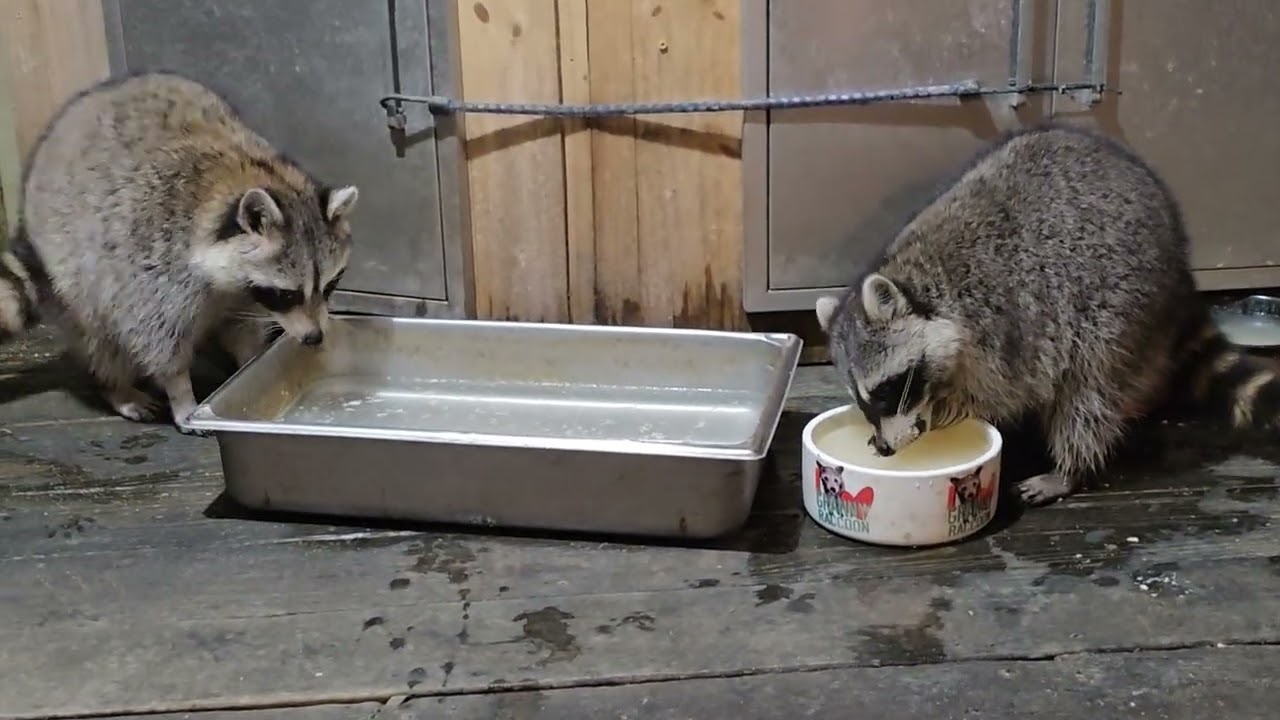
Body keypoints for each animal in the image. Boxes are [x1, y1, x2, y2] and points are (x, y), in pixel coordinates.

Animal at [0, 71, 358, 435]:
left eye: (330, 284)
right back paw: (116, 387)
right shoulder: (152, 266)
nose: (315, 337)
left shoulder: (242, 295)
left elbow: (242, 327)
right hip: (73, 275)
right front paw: (181, 395)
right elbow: (158, 340)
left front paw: (251, 365)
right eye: (286, 294)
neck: (249, 174)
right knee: (99, 339)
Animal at [816, 123, 1279, 506]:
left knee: (1089, 393)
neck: (923, 277)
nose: (885, 449)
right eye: (865, 399)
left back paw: (1072, 468)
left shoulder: (1009, 323)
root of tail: (1179, 269)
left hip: (1120, 303)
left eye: (887, 390)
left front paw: (950, 407)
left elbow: (1012, 388)